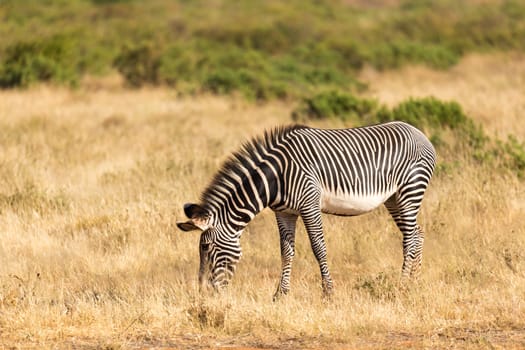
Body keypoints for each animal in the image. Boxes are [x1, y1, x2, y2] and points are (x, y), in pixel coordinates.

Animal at [178, 121, 436, 300]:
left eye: (207, 248)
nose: (203, 293)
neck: (275, 178)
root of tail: (418, 132)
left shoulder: (309, 205)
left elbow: (318, 248)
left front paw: (328, 293)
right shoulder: (284, 212)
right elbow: (286, 251)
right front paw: (280, 295)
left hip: (410, 190)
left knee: (410, 238)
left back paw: (402, 286)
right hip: (394, 198)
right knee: (418, 234)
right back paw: (415, 282)